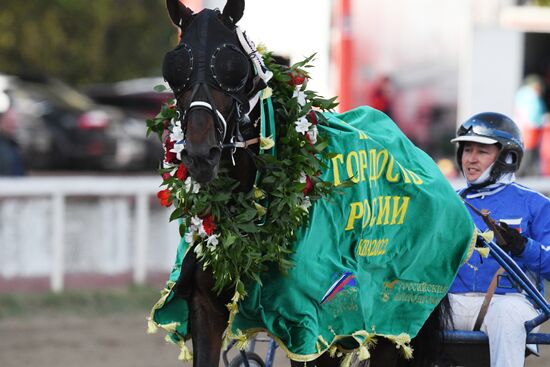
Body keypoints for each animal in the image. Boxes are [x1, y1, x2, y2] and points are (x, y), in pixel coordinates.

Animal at [162, 1, 450, 366]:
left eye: (231, 67)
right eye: (175, 68)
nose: (201, 153)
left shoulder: (309, 327)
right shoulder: (206, 308)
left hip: (390, 317)